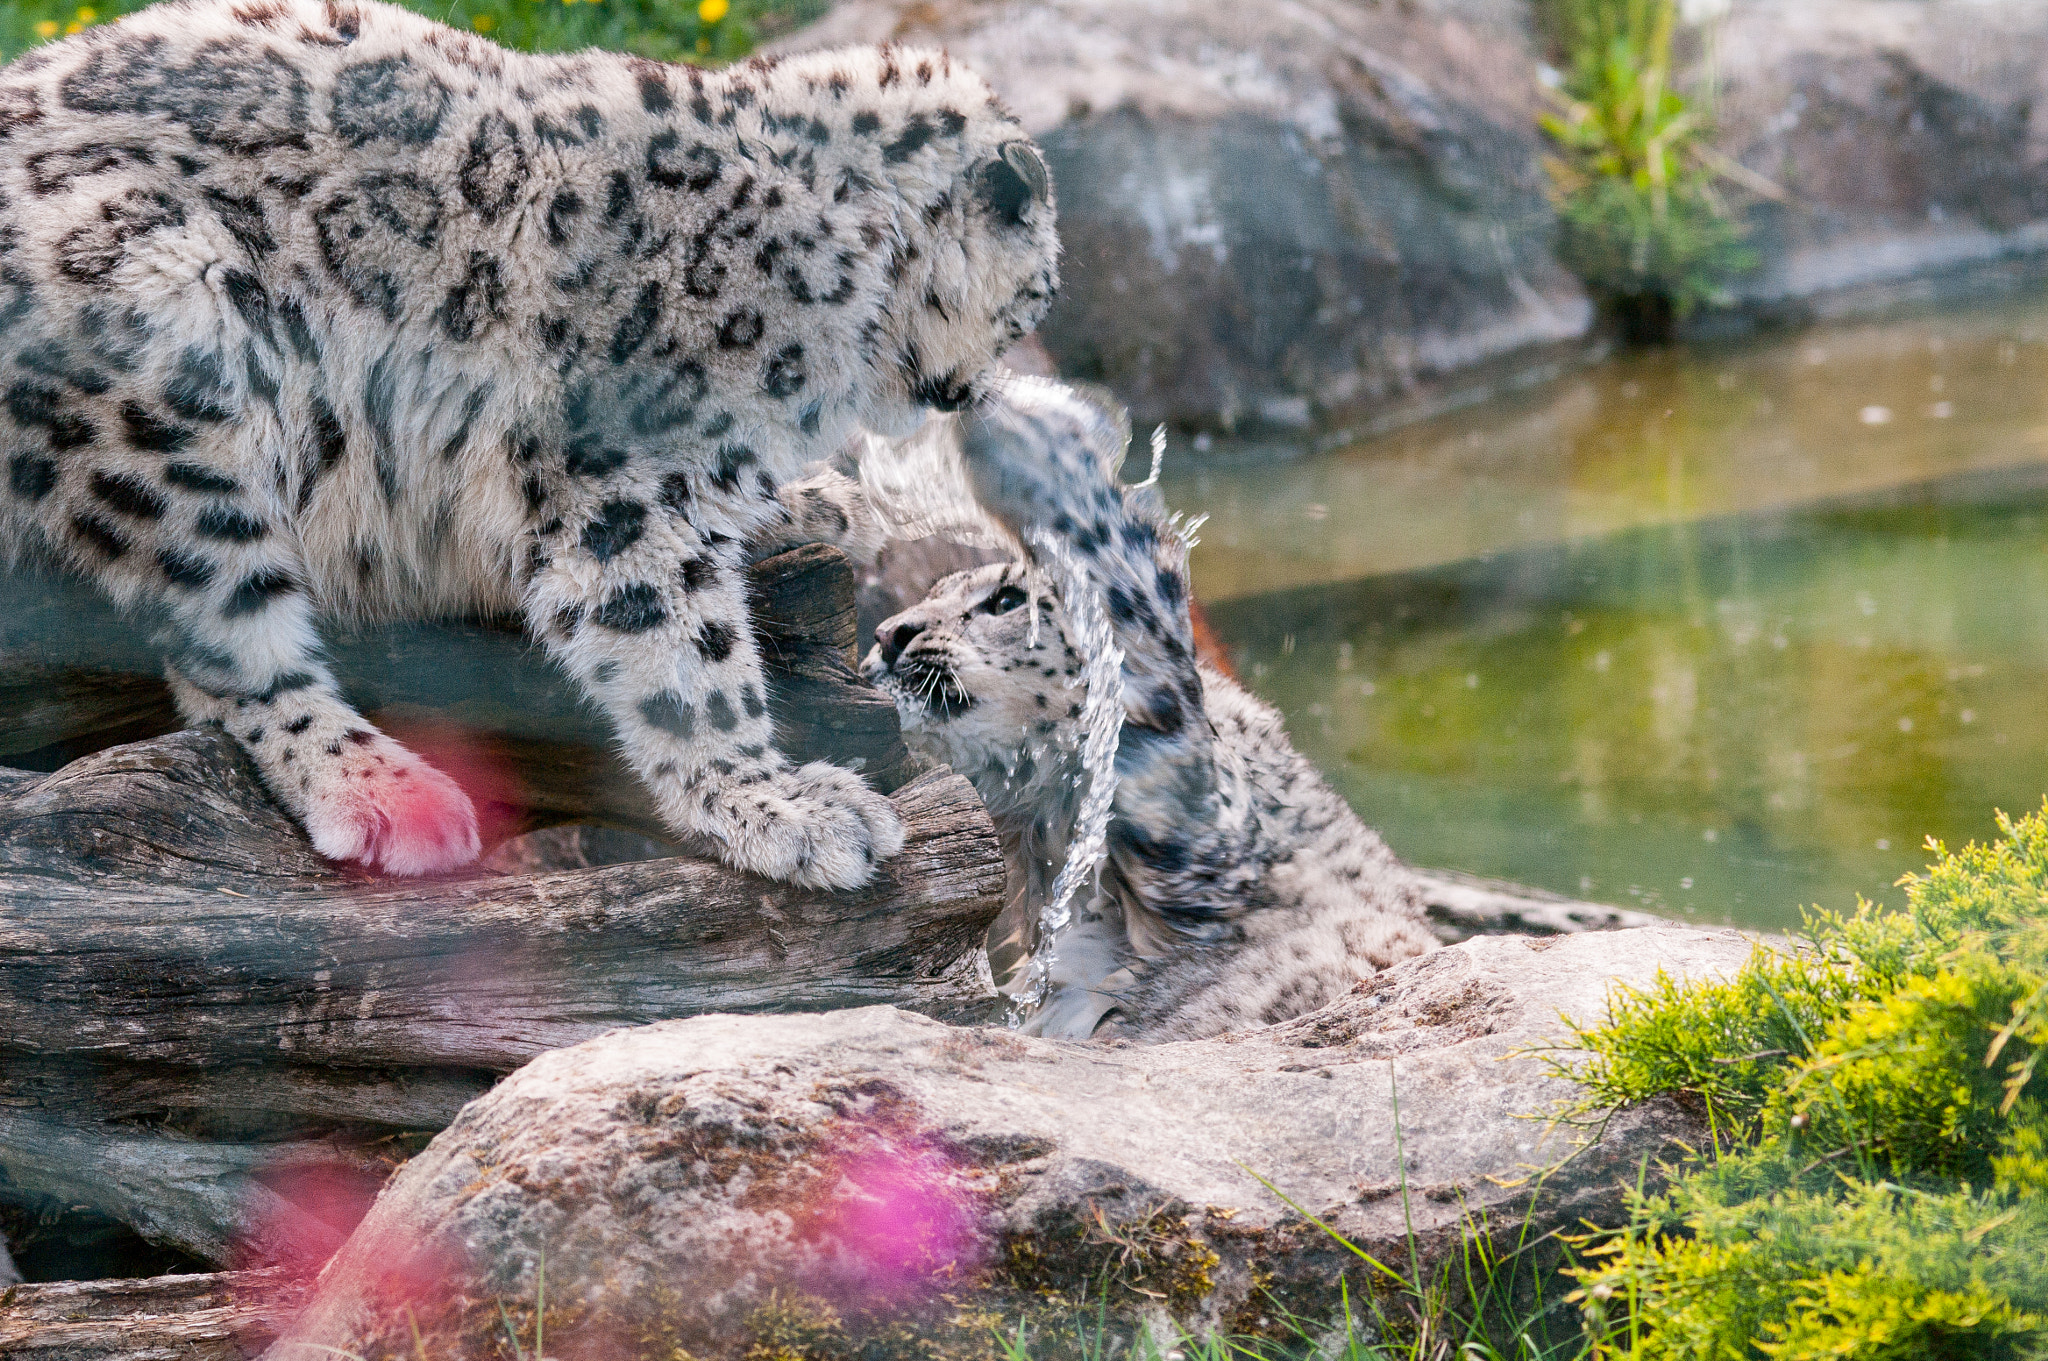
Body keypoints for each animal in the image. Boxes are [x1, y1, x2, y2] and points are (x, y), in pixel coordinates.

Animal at [0, 0, 1056, 880]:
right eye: (1039, 292)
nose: (980, 389)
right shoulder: (615, 477)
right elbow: (684, 651)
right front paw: (780, 805)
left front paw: (814, 503)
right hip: (167, 349)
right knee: (229, 645)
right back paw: (387, 793)